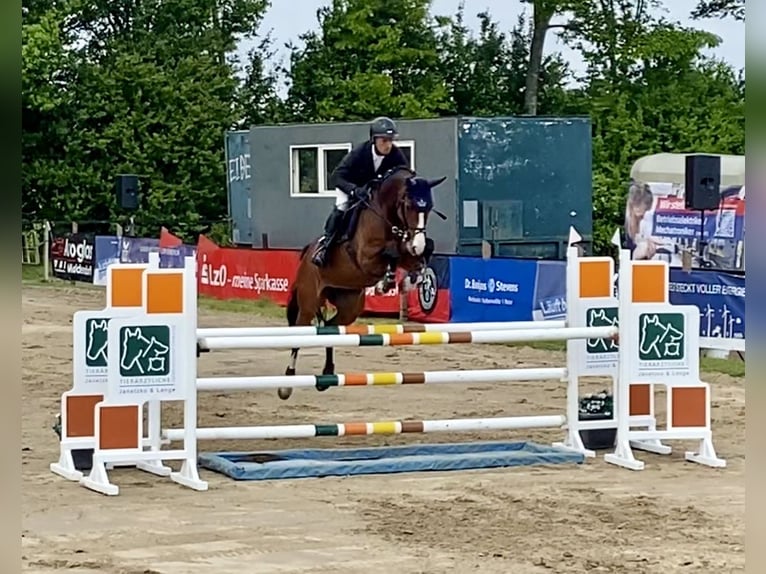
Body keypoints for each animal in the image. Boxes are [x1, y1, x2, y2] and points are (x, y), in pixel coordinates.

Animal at [278, 166, 448, 400]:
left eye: (429, 208)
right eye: (409, 206)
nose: (417, 245)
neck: (386, 213)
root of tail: (306, 255)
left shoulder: (408, 249)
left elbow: (419, 250)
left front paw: (416, 277)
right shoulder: (366, 257)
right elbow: (390, 252)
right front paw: (386, 283)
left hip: (349, 305)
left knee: (330, 327)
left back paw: (327, 374)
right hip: (309, 302)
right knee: (299, 335)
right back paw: (286, 383)